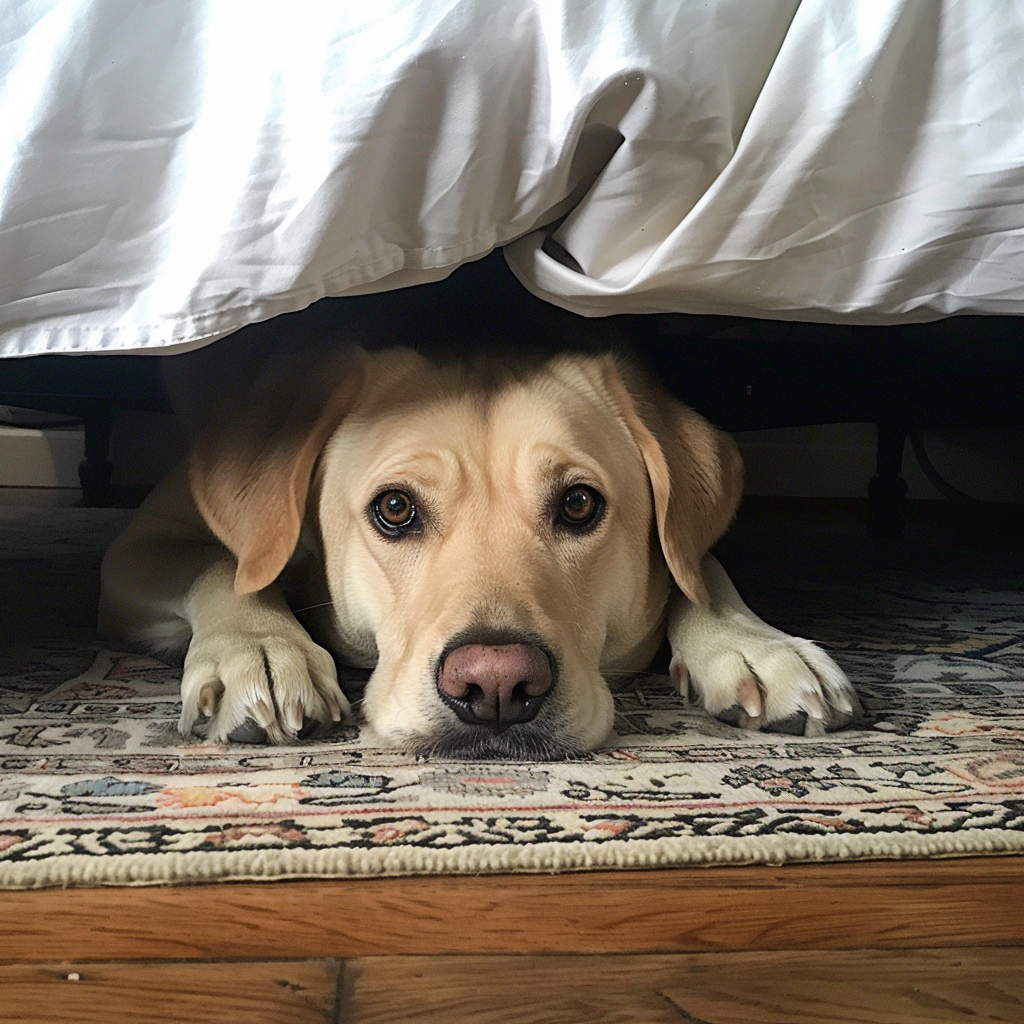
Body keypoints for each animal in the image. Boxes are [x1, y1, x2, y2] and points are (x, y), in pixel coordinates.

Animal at [99, 307, 860, 757]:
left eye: (578, 505)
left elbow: (698, 573)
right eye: (395, 509)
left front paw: (754, 646)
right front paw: (261, 651)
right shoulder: (144, 542)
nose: (496, 686)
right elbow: (227, 567)